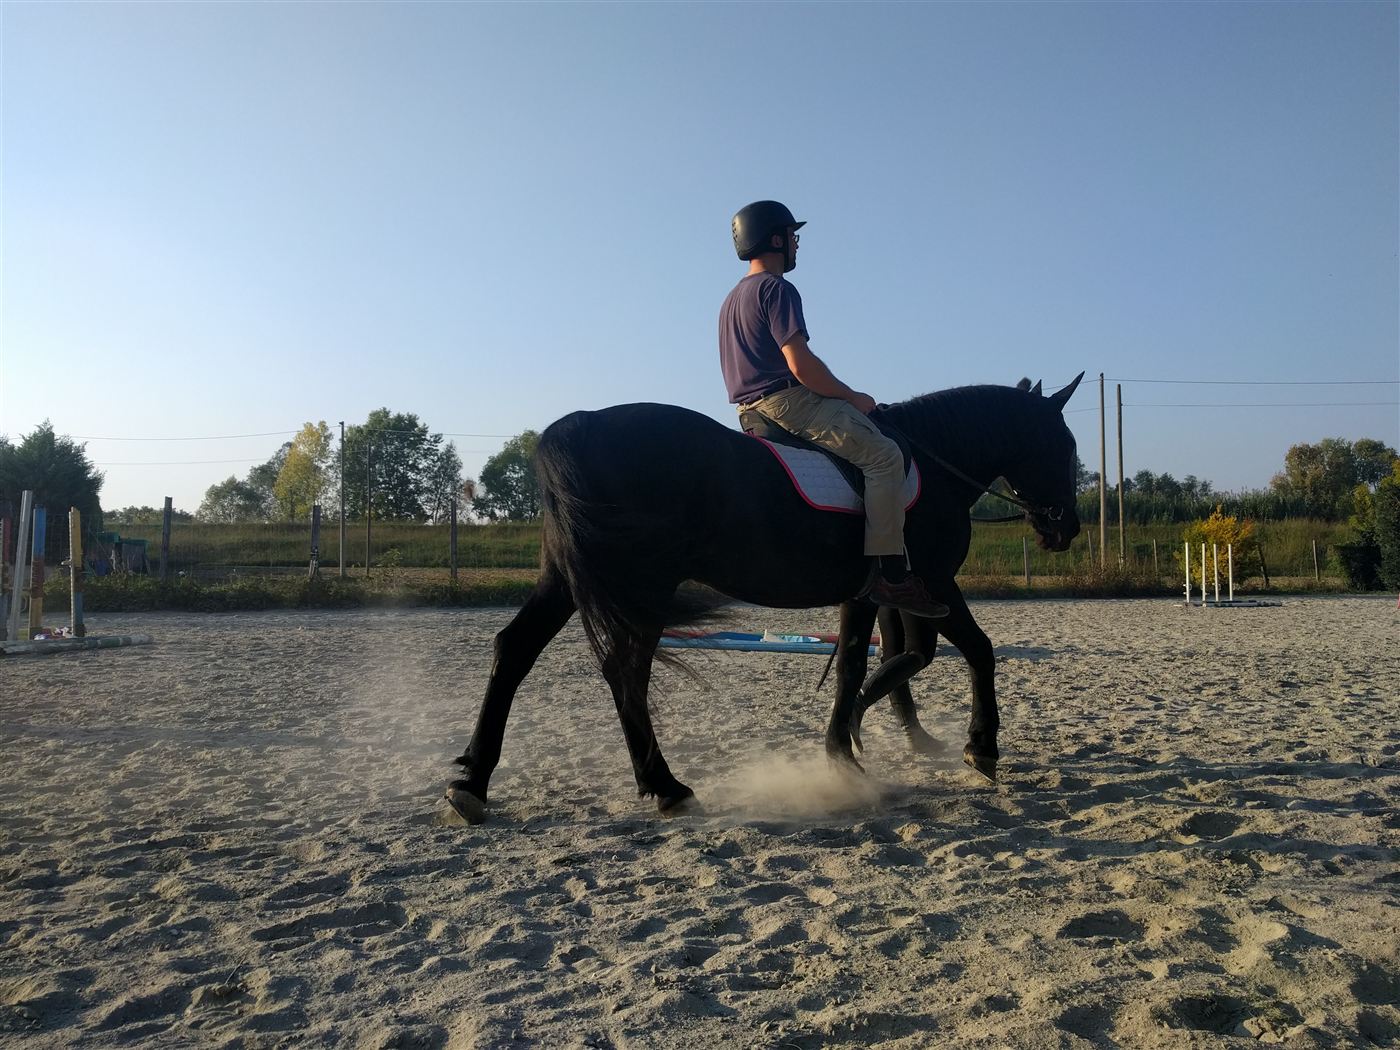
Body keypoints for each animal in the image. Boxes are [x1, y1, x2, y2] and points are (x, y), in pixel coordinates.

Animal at [447, 374, 1084, 824]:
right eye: (1064, 444)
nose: (1066, 529)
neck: (933, 464)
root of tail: (575, 427)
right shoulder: (935, 583)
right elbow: (976, 649)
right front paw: (979, 747)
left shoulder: (877, 594)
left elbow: (860, 663)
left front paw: (847, 749)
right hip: (643, 588)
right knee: (625, 673)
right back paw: (667, 787)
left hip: (568, 582)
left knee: (516, 650)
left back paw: (471, 783)